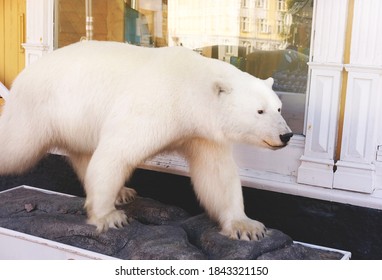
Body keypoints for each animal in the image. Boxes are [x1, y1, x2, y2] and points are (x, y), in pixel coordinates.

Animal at [0, 41, 292, 241]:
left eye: (278, 108)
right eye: (259, 111)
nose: (286, 135)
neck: (186, 85)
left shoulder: (201, 134)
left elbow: (217, 174)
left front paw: (248, 227)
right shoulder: (154, 106)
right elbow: (116, 152)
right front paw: (109, 217)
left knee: (84, 154)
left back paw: (123, 192)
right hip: (38, 109)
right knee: (16, 148)